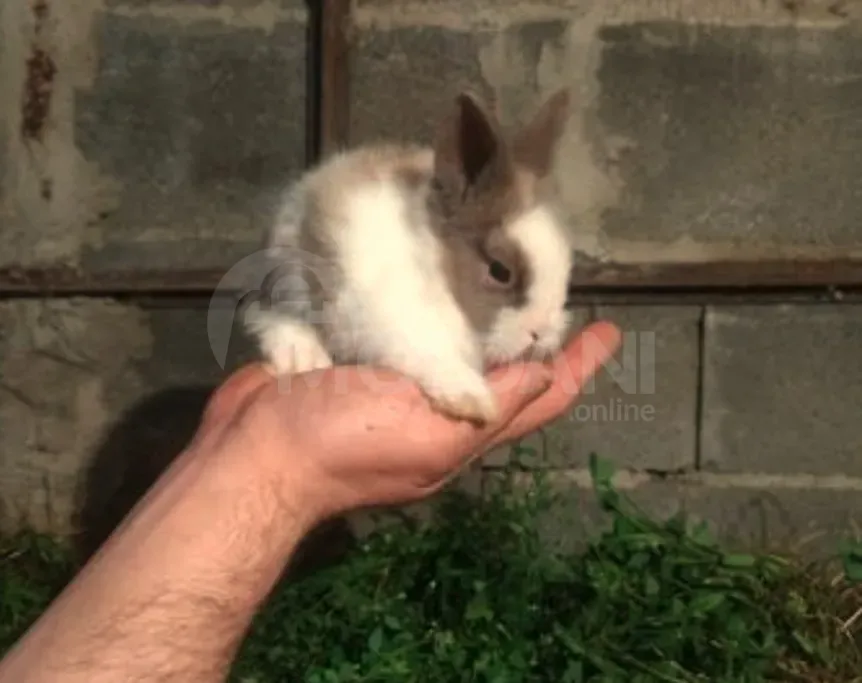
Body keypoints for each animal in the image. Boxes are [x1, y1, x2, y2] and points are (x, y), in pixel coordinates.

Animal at [242, 88, 575, 425]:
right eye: (500, 271)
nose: (542, 333)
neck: (441, 276)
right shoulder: (394, 323)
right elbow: (431, 356)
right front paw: (472, 400)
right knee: (264, 314)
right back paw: (302, 357)